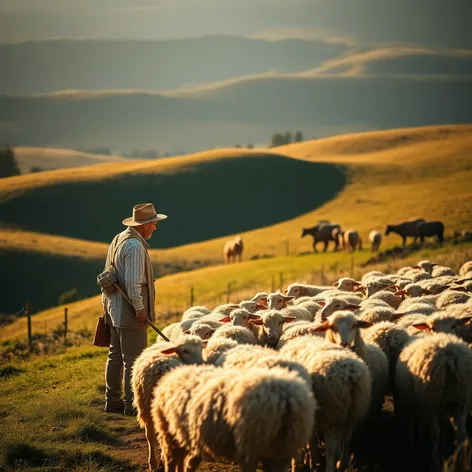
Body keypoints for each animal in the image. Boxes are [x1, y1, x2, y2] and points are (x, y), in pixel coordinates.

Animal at [129, 336, 205, 472]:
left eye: (201, 348)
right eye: (185, 351)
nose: (201, 364)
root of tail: (159, 369)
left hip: (146, 405)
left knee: (150, 435)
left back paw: (153, 463)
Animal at [278, 336, 370, 472]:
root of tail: (350, 374)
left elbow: (311, 439)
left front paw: (311, 460)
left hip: (331, 410)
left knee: (331, 447)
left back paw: (330, 466)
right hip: (353, 410)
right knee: (346, 436)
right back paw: (342, 464)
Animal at [394, 334, 472, 470]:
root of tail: (450, 358)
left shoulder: (413, 403)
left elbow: (412, 424)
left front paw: (413, 446)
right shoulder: (443, 405)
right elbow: (443, 424)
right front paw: (443, 447)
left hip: (431, 401)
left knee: (434, 434)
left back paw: (435, 461)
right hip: (462, 400)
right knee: (462, 435)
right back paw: (459, 462)